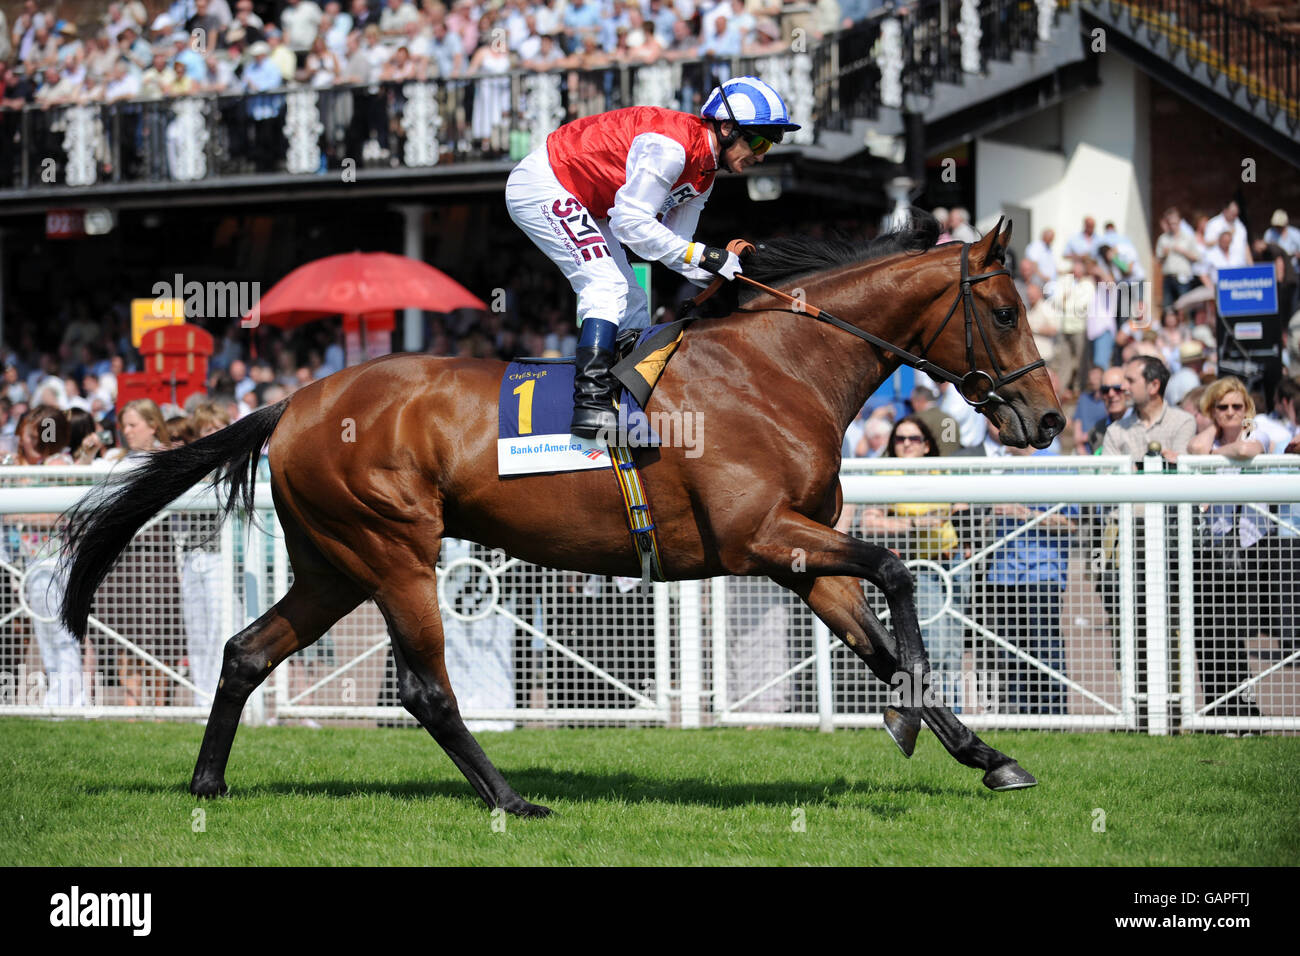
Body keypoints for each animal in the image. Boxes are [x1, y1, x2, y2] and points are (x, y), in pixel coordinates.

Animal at [58, 214, 1066, 816]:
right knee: (425, 689)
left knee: (245, 650)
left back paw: (208, 781)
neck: (776, 369)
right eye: (1005, 311)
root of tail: (293, 401)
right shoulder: (762, 535)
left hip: (333, 564)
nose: (1049, 418)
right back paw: (509, 800)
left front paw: (985, 754)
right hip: (393, 550)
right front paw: (913, 721)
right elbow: (896, 576)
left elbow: (881, 639)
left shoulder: (796, 553)